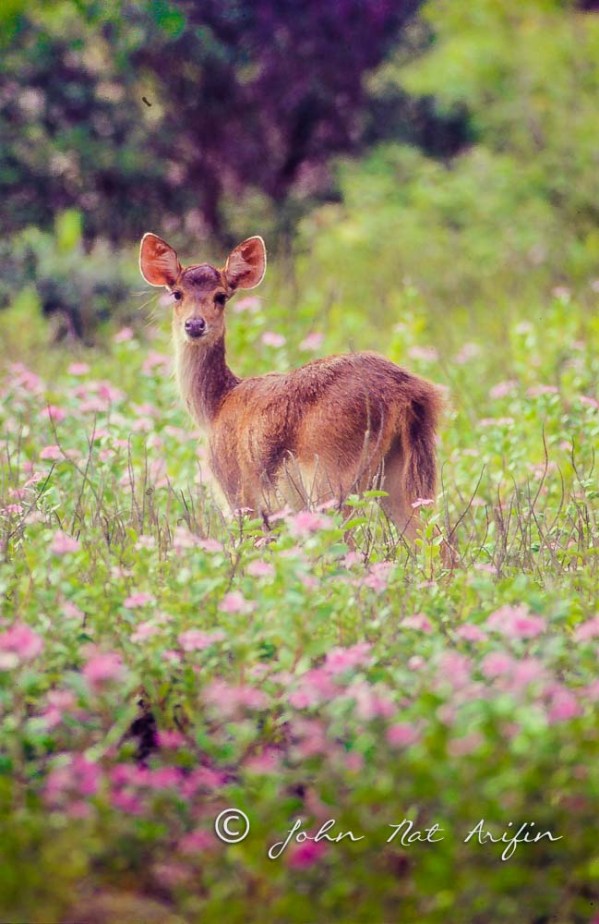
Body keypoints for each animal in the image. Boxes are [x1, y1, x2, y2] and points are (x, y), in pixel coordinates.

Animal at [139, 233, 445, 543]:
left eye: (221, 296)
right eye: (177, 293)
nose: (194, 324)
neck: (215, 407)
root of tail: (410, 392)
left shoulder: (238, 491)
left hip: (330, 475)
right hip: (400, 476)